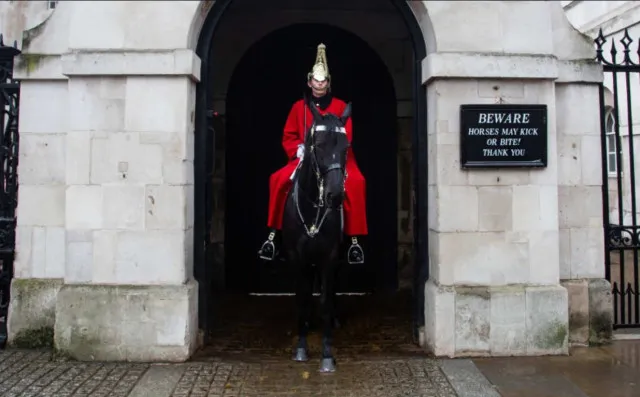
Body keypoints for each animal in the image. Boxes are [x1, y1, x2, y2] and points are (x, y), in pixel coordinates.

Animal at [282, 96, 352, 372]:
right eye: (318, 145)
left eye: (346, 146)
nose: (335, 195)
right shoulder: (296, 257)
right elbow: (302, 300)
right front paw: (301, 348)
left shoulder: (329, 257)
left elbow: (324, 302)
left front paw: (327, 355)